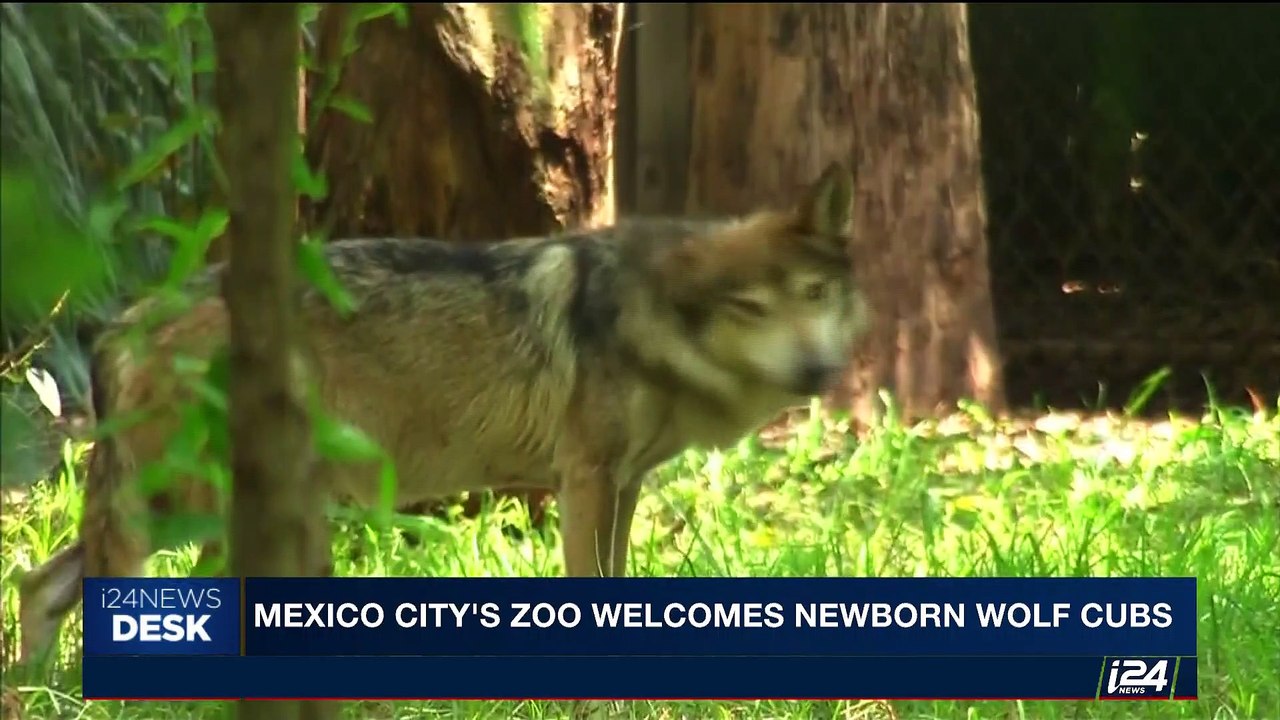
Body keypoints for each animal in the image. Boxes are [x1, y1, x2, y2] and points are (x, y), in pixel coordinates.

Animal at [17, 162, 869, 662]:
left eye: (815, 294)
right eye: (751, 308)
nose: (818, 370)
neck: (647, 319)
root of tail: (129, 320)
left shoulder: (622, 484)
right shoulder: (586, 479)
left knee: (38, 584)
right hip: (189, 508)